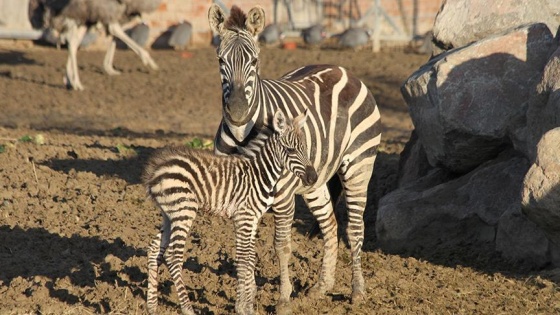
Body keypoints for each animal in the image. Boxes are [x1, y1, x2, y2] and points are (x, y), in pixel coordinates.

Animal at [144, 111, 318, 315]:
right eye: (290, 150)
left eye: (305, 148)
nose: (313, 178)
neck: (260, 173)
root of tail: (156, 169)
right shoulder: (244, 217)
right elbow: (243, 259)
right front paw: (243, 306)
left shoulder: (253, 219)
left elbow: (250, 258)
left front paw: (247, 304)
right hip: (184, 211)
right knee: (173, 256)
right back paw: (187, 308)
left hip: (169, 215)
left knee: (154, 249)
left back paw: (151, 306)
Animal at [208, 4, 382, 314]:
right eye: (220, 60)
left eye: (255, 61)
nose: (238, 112)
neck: (242, 136)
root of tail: (343, 70)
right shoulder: (236, 198)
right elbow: (243, 249)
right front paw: (244, 301)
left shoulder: (283, 196)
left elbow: (282, 245)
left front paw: (283, 299)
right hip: (315, 181)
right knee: (330, 226)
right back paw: (321, 287)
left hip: (359, 167)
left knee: (354, 229)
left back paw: (357, 291)